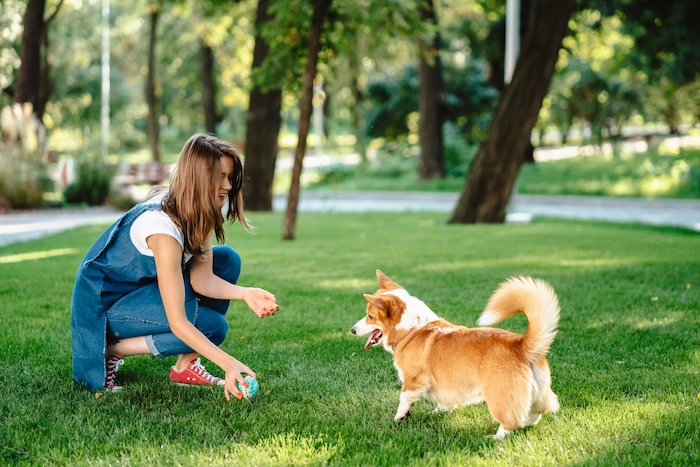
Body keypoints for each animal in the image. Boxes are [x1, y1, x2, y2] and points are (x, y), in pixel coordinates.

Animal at [352, 268, 560, 440]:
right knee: (534, 415)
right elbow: (444, 402)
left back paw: (494, 438)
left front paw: (398, 418)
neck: (411, 328)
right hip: (538, 394)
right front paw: (436, 413)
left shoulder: (413, 380)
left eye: (370, 316)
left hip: (498, 397)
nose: (352, 330)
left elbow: (404, 399)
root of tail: (522, 344)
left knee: (510, 422)